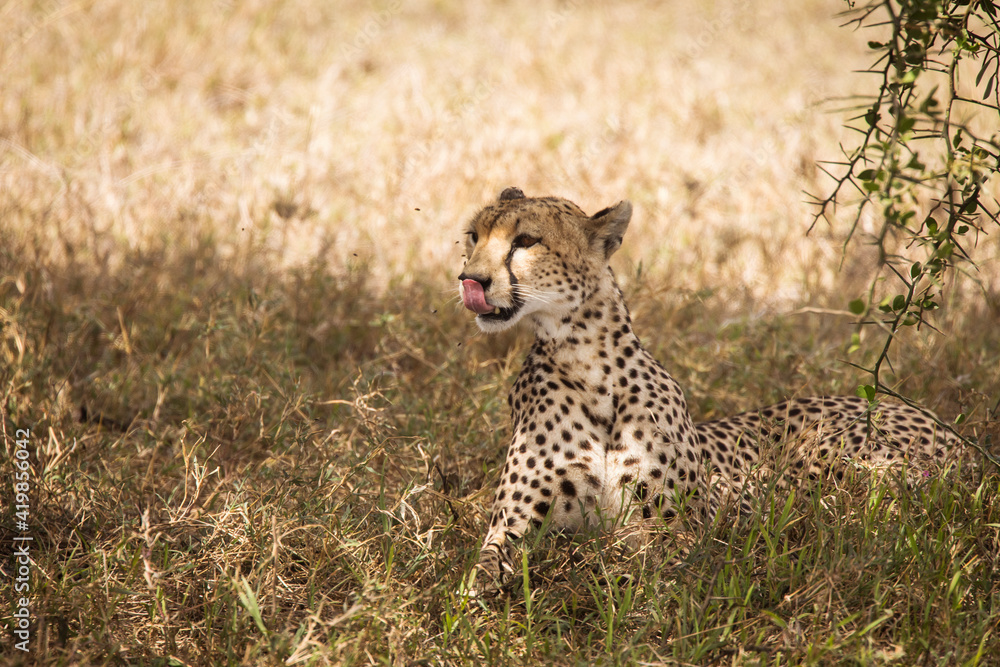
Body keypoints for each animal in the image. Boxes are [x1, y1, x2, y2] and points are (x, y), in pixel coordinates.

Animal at [458, 187, 964, 594]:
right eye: (473, 237)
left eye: (526, 241)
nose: (470, 280)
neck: (585, 361)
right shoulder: (512, 527)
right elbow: (481, 571)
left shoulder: (679, 526)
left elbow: (645, 560)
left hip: (830, 460)